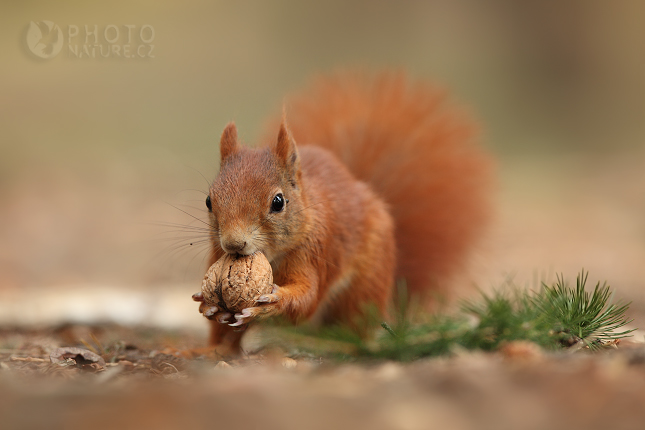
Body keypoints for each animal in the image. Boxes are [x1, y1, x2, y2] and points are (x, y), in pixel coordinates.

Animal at [191, 69, 494, 352]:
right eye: (208, 201)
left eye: (278, 202)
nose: (234, 244)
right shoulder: (216, 254)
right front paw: (207, 303)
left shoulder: (316, 251)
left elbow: (307, 298)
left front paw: (274, 301)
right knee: (227, 336)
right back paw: (210, 350)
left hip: (364, 288)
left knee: (352, 323)